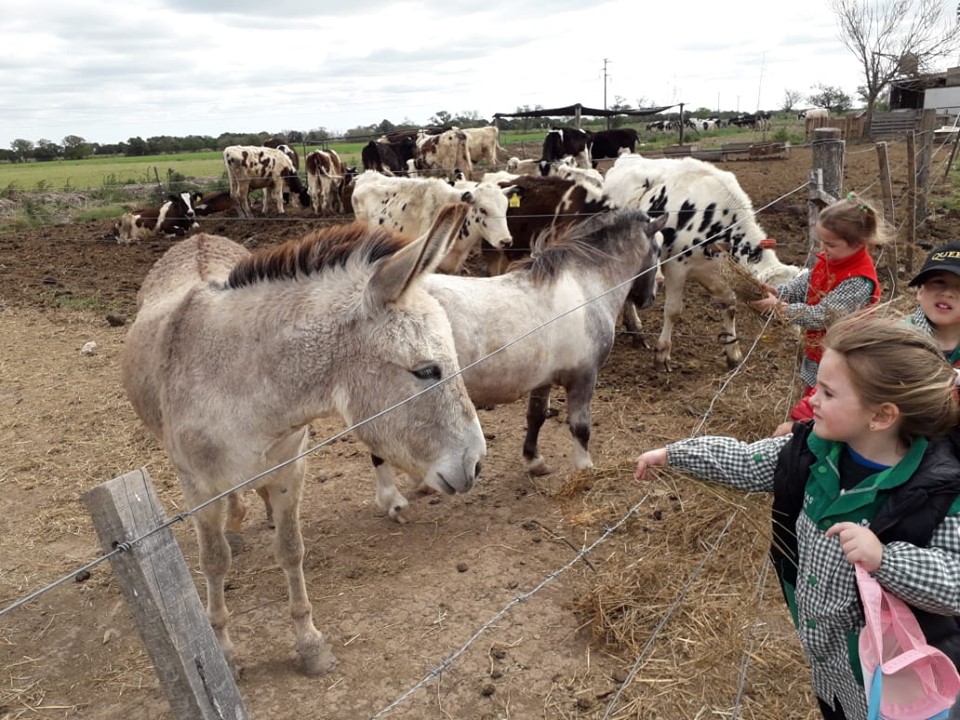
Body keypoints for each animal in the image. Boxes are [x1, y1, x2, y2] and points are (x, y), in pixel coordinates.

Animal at [604, 155, 800, 374]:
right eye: (780, 302)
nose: (798, 336)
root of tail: (627, 157)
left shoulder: (717, 271)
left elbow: (730, 305)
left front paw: (733, 354)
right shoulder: (676, 267)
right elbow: (673, 310)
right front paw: (662, 355)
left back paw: (634, 330)